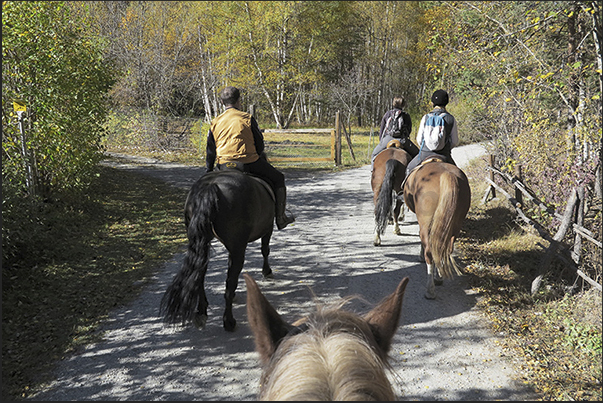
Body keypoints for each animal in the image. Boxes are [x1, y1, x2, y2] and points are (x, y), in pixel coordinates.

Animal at [159, 169, 274, 332]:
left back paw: (201, 311)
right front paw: (267, 271)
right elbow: (265, 249)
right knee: (230, 282)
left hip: (202, 242)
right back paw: (229, 321)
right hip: (238, 248)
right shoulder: (268, 228)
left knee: (200, 274)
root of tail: (211, 186)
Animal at [404, 158, 474, 300]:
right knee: (443, 249)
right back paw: (439, 278)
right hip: (454, 226)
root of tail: (447, 175)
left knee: (430, 253)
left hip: (427, 225)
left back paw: (430, 290)